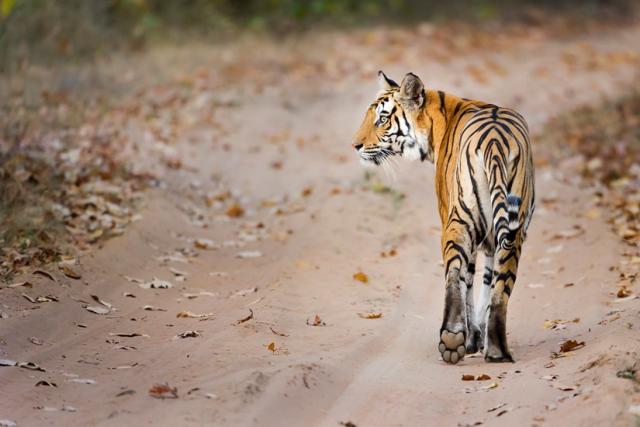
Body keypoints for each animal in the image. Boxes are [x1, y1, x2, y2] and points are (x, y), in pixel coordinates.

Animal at [353, 71, 535, 364]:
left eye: (382, 119)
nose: (355, 145)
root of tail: (495, 143)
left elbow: (468, 283)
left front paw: (471, 340)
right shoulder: (491, 241)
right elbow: (486, 284)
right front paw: (478, 338)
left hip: (457, 222)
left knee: (454, 277)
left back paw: (451, 340)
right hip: (513, 233)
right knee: (500, 290)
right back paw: (497, 351)